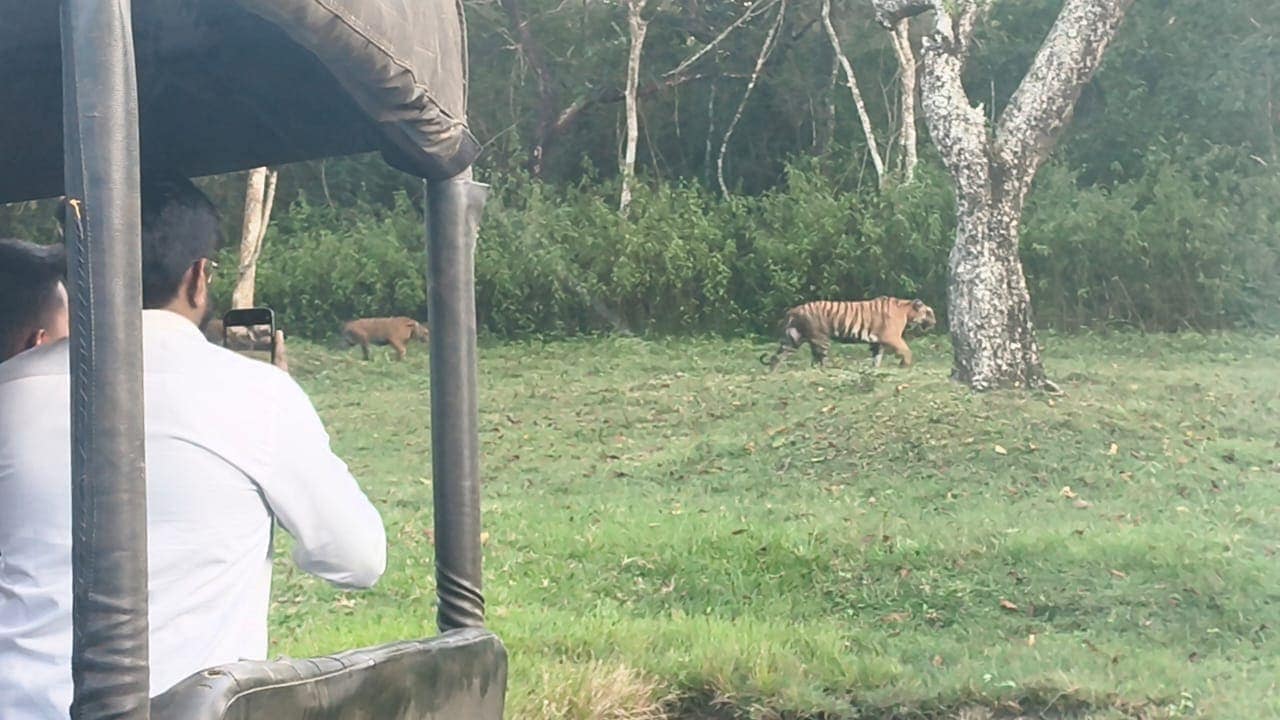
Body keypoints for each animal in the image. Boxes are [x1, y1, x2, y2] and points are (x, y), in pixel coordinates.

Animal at [760, 296, 937, 371]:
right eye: (929, 312)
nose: (935, 322)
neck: (906, 310)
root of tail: (794, 310)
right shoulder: (891, 337)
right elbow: (906, 350)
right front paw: (904, 365)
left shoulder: (877, 341)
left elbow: (877, 356)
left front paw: (875, 369)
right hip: (820, 338)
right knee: (820, 358)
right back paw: (829, 370)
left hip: (793, 338)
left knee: (778, 356)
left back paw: (772, 373)